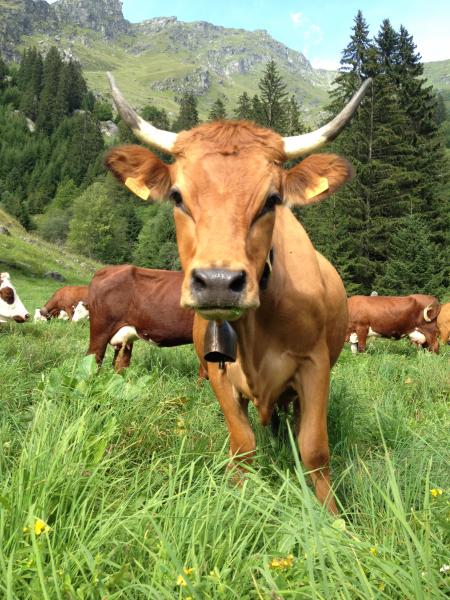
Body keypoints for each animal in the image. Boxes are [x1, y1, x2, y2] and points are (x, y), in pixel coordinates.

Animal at [103, 72, 370, 512]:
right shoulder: (217, 371)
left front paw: (330, 515)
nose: (217, 282)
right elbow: (242, 444)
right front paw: (241, 498)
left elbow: (314, 448)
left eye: (272, 199)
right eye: (177, 196)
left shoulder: (315, 366)